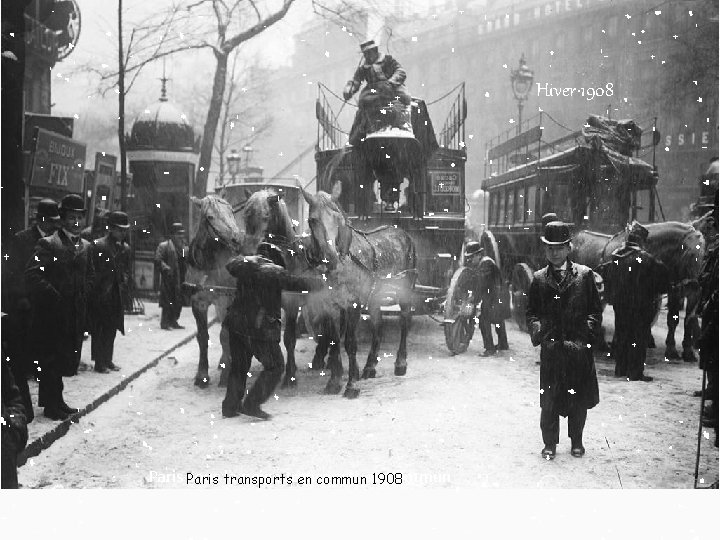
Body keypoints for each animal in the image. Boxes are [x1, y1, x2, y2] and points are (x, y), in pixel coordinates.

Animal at [300, 181, 420, 396]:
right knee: (378, 324)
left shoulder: (353, 304)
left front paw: (351, 385)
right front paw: (334, 381)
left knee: (405, 321)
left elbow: (350, 343)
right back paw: (370, 366)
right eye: (313, 220)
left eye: (337, 218)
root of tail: (402, 232)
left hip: (406, 290)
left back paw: (400, 363)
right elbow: (334, 341)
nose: (331, 257)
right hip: (375, 297)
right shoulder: (330, 305)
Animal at [572, 219, 704, 362]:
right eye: (690, 253)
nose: (695, 284)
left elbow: (689, 320)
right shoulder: (673, 292)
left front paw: (688, 351)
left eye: (703, 256)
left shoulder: (688, 293)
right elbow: (671, 320)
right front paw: (671, 350)